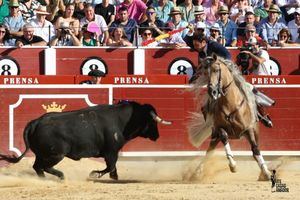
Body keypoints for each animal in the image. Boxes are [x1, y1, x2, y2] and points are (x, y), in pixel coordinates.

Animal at [0, 101, 171, 180]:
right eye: (152, 122)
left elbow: (113, 170)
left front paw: (114, 180)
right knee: (44, 167)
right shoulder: (111, 152)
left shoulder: (112, 153)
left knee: (37, 167)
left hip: (42, 154)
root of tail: (35, 122)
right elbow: (110, 167)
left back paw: (45, 180)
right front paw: (94, 174)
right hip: (56, 154)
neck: (122, 120)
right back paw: (61, 176)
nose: (157, 136)